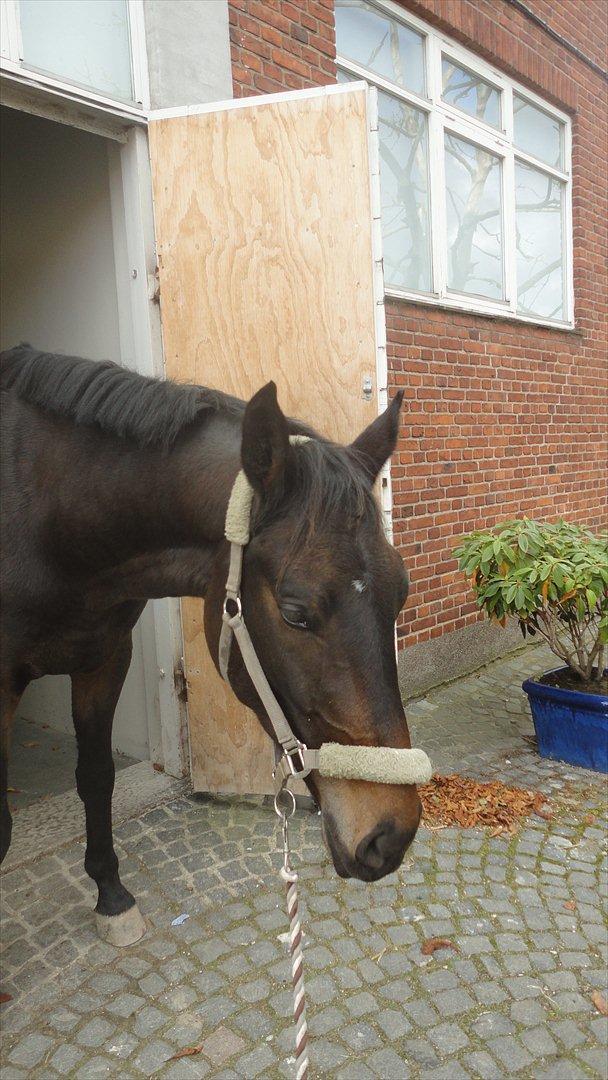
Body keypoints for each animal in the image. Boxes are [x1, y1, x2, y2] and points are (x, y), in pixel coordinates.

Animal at [0, 345, 421, 946]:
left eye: (401, 591)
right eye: (295, 613)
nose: (391, 833)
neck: (44, 513)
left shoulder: (106, 658)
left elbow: (97, 775)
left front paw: (111, 895)